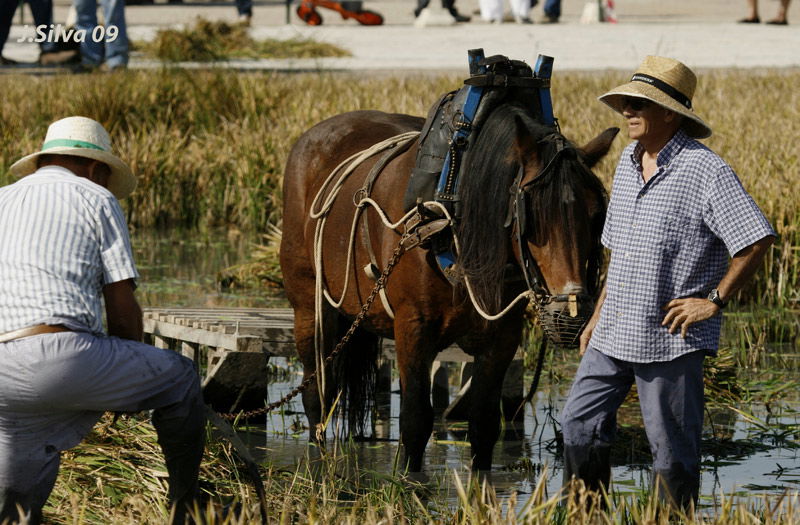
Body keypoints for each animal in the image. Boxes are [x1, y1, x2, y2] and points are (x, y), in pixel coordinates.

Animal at [282, 102, 620, 470]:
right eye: (532, 216)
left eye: (596, 216)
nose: (571, 314)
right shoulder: (413, 330)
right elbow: (416, 422)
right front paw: (408, 481)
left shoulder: (502, 337)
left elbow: (484, 423)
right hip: (309, 307)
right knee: (316, 395)